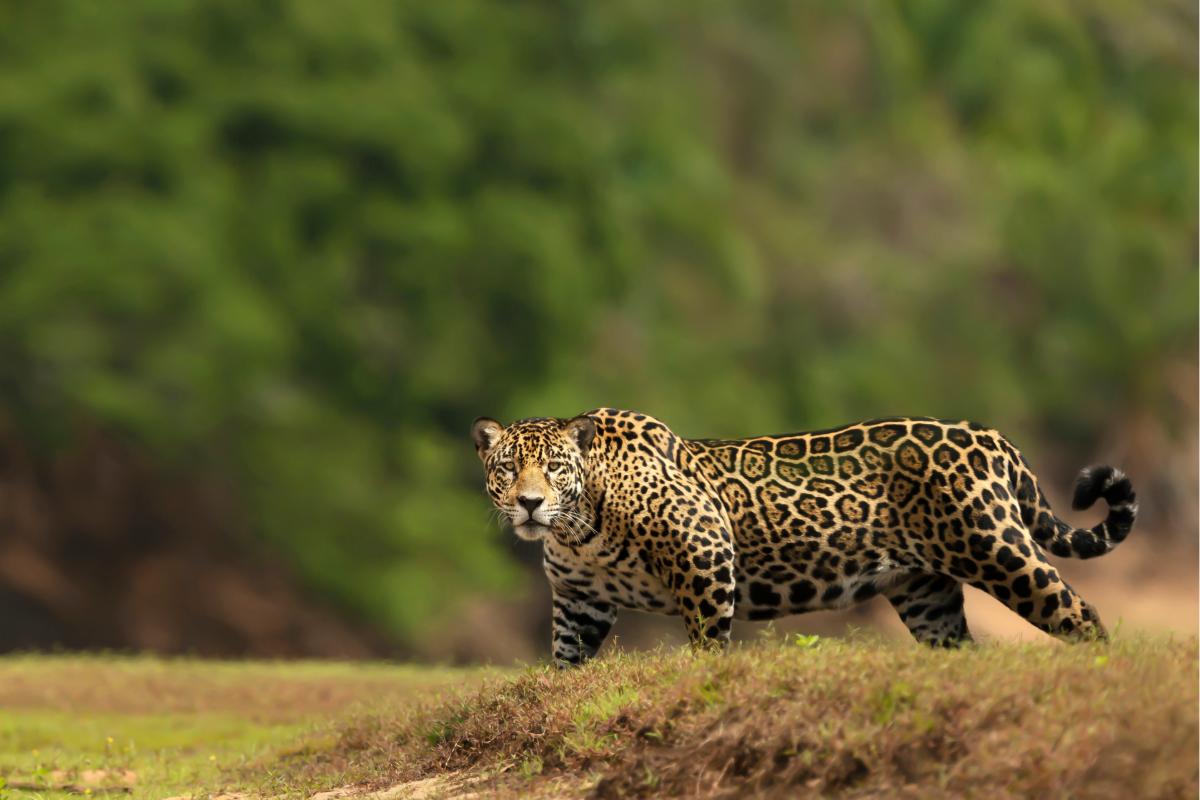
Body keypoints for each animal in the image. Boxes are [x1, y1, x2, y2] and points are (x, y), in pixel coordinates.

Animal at [471, 409, 1136, 666]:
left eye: (554, 468)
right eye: (508, 468)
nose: (530, 503)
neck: (579, 527)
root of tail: (991, 436)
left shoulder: (704, 553)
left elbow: (707, 643)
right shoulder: (579, 602)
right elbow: (564, 662)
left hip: (995, 549)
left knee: (1078, 612)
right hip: (926, 591)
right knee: (958, 646)